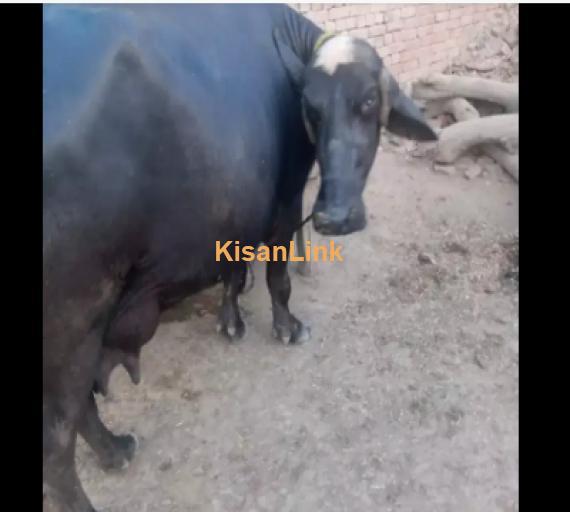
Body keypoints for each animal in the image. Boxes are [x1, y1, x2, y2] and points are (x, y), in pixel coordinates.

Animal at [43, 4, 436, 511]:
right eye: (311, 108)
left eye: (369, 101)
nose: (333, 217)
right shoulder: (285, 201)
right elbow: (277, 277)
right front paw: (288, 327)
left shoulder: (234, 211)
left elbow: (234, 267)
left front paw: (230, 321)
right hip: (75, 319)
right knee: (56, 441)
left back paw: (115, 449)